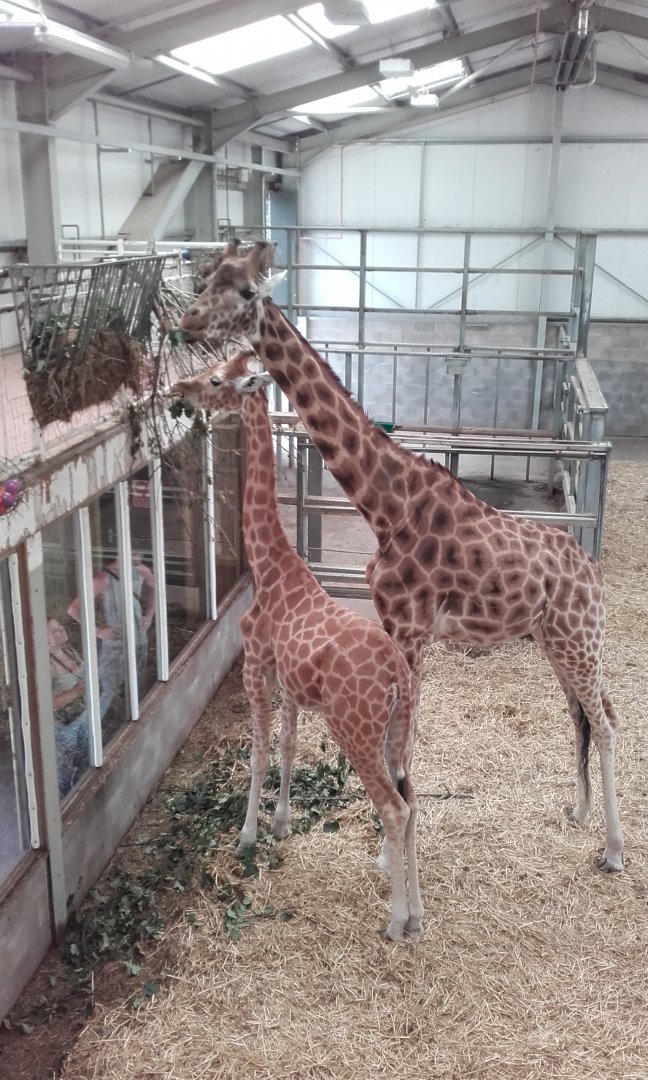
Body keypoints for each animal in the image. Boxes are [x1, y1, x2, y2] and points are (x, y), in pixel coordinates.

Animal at [170, 352, 423, 941]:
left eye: (216, 378)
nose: (178, 389)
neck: (270, 566)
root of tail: (397, 676)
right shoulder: (287, 682)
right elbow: (286, 747)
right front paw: (282, 823)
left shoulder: (255, 668)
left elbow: (259, 752)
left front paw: (247, 834)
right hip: (397, 732)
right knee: (413, 801)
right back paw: (419, 913)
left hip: (355, 731)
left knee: (394, 809)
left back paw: (396, 921)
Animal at [178, 240, 624, 874]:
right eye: (208, 277)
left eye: (244, 290)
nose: (187, 323)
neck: (385, 503)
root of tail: (594, 574)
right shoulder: (394, 627)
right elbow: (396, 747)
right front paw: (390, 852)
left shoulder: (410, 628)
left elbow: (403, 748)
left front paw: (389, 859)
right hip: (560, 641)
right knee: (585, 713)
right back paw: (581, 813)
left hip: (578, 639)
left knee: (605, 721)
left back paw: (613, 850)